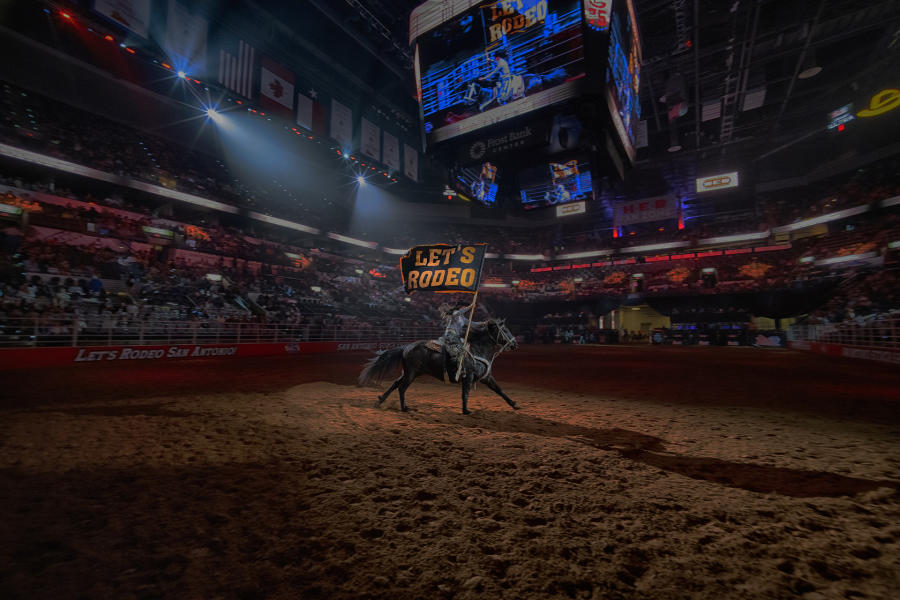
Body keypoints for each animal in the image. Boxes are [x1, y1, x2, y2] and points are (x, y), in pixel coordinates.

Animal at [358, 318, 519, 415]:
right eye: (504, 330)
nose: (514, 344)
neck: (476, 350)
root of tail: (406, 347)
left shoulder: (487, 378)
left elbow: (499, 390)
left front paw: (514, 404)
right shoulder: (468, 378)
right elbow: (465, 394)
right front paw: (466, 411)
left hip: (410, 372)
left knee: (396, 383)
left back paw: (380, 401)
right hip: (411, 374)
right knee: (402, 387)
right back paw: (404, 408)